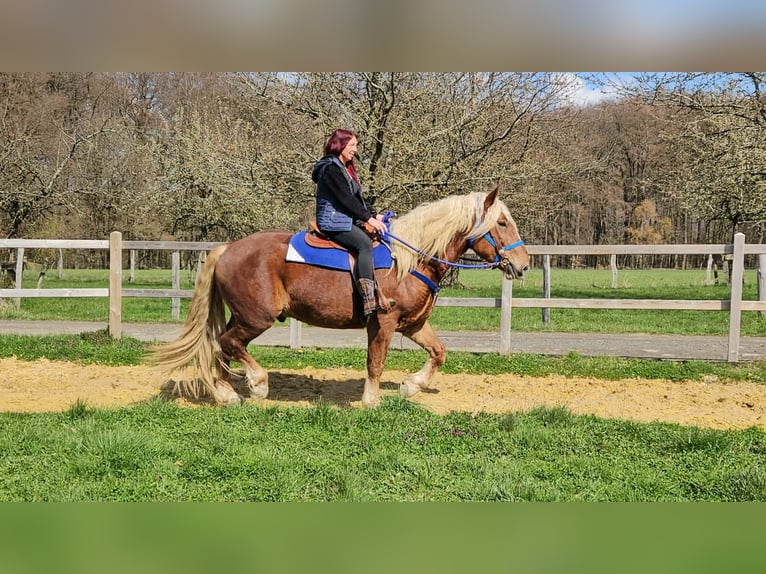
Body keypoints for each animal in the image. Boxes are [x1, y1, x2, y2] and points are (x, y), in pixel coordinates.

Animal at [151, 185, 530, 407]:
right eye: (501, 223)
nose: (523, 264)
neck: (410, 259)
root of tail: (228, 249)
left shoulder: (413, 324)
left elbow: (439, 353)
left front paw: (411, 386)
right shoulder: (384, 322)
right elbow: (375, 362)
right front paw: (371, 402)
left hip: (243, 316)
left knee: (220, 348)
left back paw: (226, 393)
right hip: (257, 317)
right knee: (228, 344)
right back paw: (256, 384)